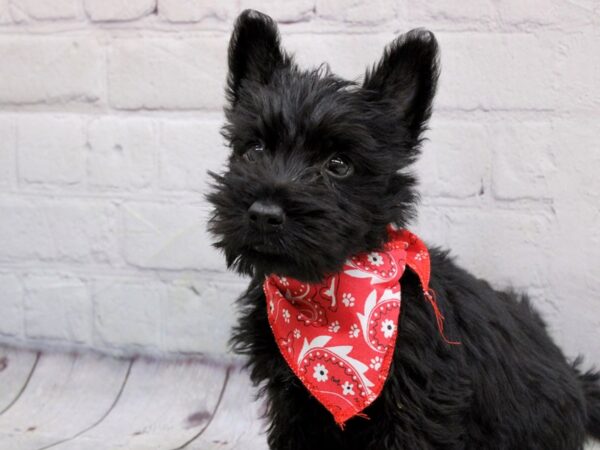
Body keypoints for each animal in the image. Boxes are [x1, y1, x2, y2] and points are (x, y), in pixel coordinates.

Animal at [207, 7, 600, 450]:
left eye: (339, 164)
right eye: (254, 149)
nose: (263, 213)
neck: (326, 298)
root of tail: (576, 381)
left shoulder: (417, 411)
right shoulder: (293, 405)